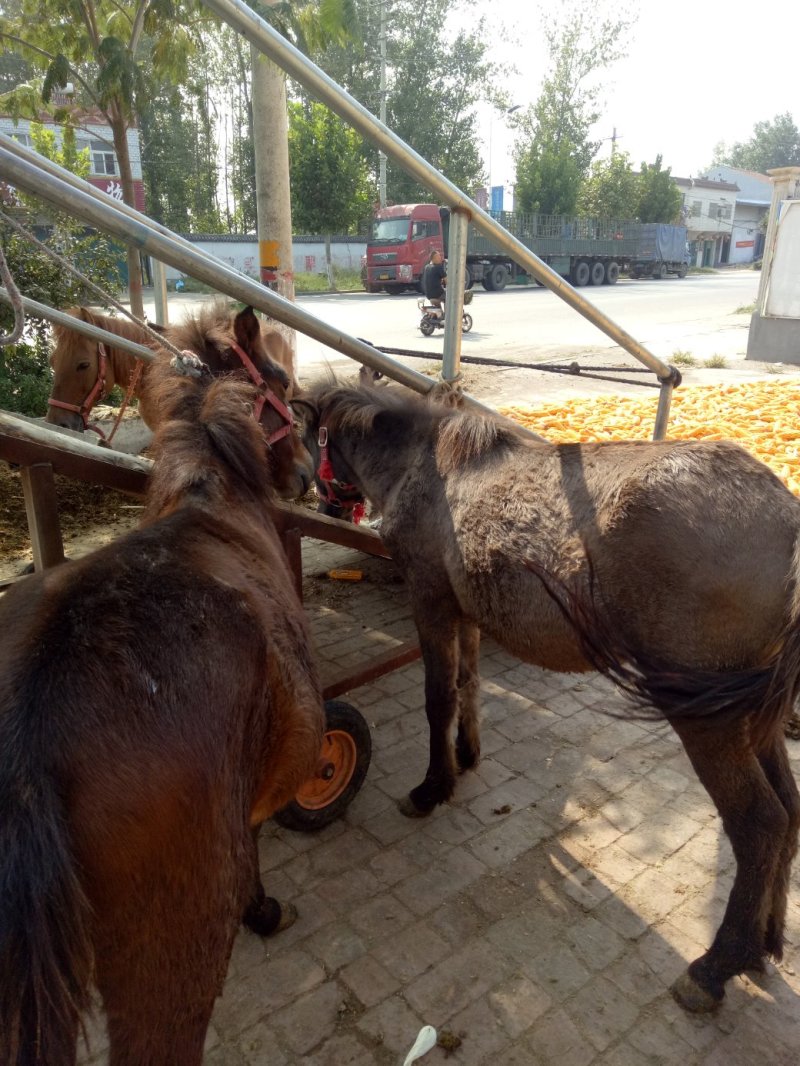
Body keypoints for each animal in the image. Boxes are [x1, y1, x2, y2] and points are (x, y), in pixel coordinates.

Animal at [295, 379, 800, 1014]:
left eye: (300, 432)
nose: (318, 495)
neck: (426, 464)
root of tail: (787, 521)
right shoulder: (466, 612)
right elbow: (467, 686)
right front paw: (466, 757)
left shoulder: (430, 601)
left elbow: (438, 697)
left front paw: (433, 787)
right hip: (757, 717)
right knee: (790, 810)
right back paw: (763, 942)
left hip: (711, 721)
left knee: (760, 824)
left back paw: (714, 968)